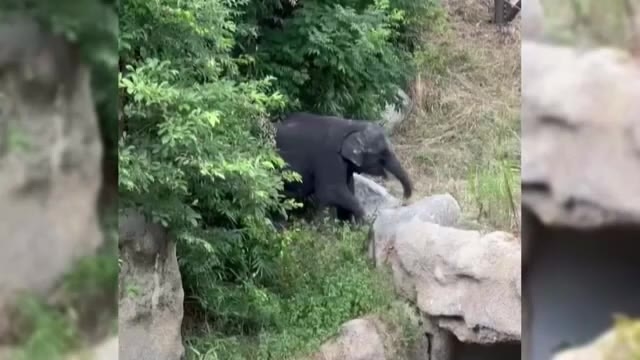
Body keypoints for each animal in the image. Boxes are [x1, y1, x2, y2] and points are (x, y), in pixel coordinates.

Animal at [276, 112, 416, 222]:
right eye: (383, 154)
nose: (403, 200)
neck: (352, 125)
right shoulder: (328, 157)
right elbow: (330, 191)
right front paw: (362, 222)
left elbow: (348, 188)